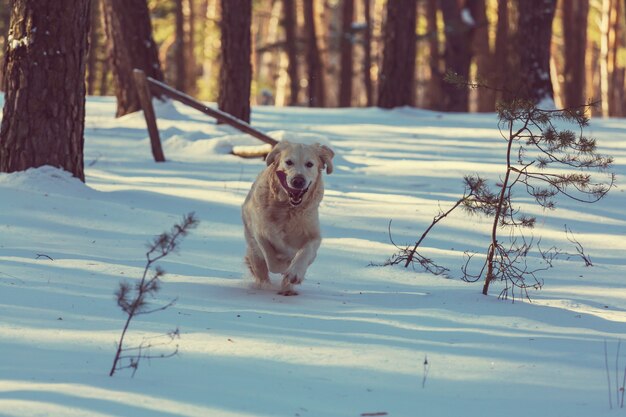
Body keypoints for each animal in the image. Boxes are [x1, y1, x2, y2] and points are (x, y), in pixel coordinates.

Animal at [241, 141, 334, 296]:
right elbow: (271, 259)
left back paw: (288, 289)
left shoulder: (313, 235)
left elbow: (305, 252)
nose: (298, 181)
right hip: (253, 247)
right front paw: (283, 266)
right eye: (289, 162)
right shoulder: (260, 233)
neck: (288, 210)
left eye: (310, 164)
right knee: (261, 270)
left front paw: (295, 273)